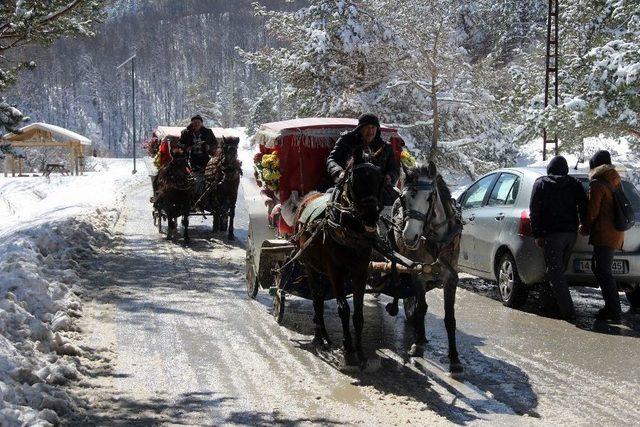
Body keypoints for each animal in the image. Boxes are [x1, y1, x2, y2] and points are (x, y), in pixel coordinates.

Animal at [296, 152, 384, 370]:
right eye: (355, 180)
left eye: (380, 179)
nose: (371, 216)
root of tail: (309, 196)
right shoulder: (335, 270)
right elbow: (343, 309)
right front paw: (348, 350)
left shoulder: (360, 271)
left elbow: (358, 313)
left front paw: (360, 353)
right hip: (310, 266)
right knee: (316, 298)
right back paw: (320, 338)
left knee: (320, 297)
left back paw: (325, 336)